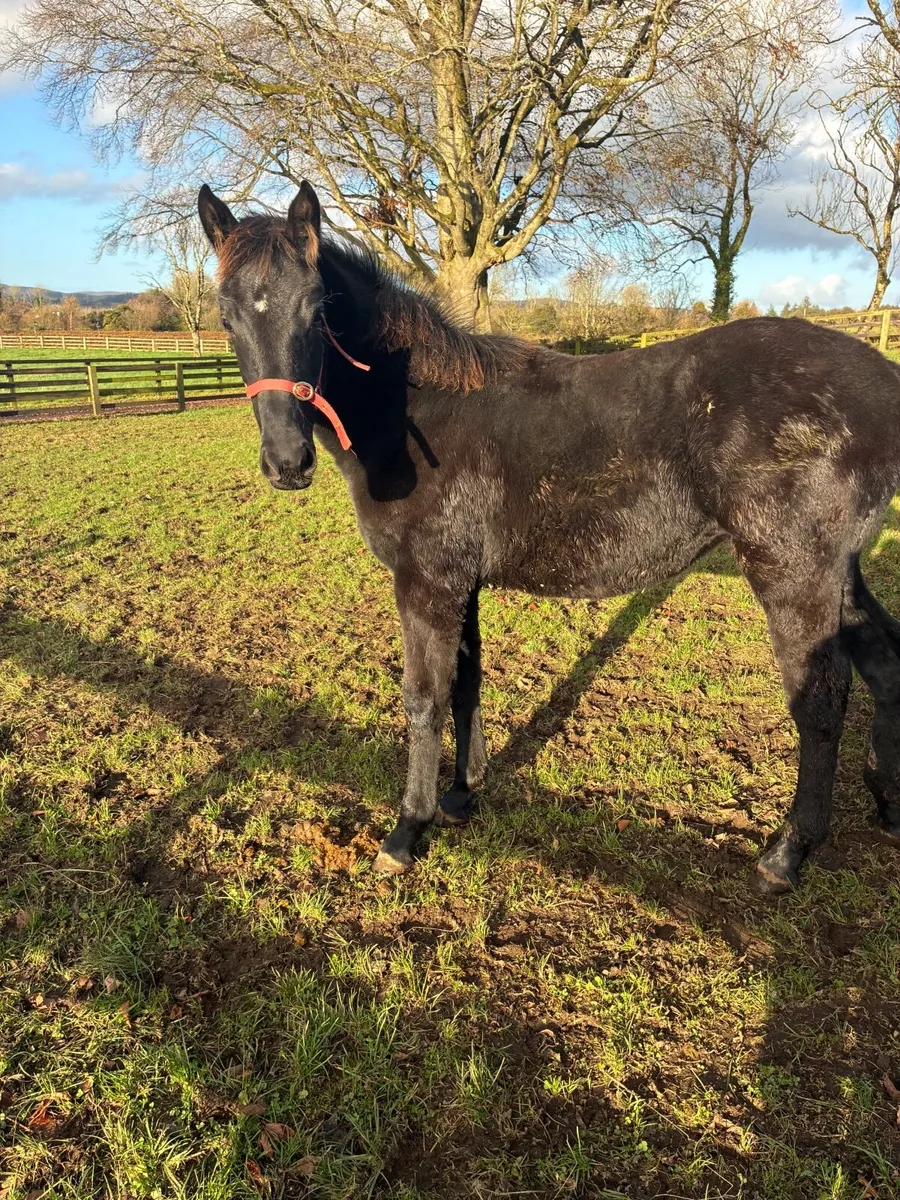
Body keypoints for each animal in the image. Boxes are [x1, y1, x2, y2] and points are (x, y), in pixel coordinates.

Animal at [197, 181, 900, 894]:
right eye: (225, 316)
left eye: (318, 310)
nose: (288, 463)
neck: (417, 414)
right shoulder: (461, 583)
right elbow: (466, 681)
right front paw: (460, 797)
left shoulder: (427, 583)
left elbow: (424, 696)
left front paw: (406, 829)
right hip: (838, 572)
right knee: (885, 659)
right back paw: (886, 804)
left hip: (794, 573)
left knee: (822, 702)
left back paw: (786, 855)